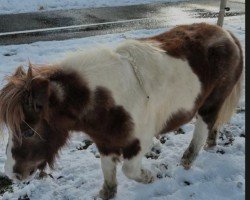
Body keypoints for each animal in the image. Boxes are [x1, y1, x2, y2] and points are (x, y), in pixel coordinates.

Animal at [0, 23, 242, 200]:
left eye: (28, 131)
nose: (11, 173)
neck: (104, 97)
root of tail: (227, 34)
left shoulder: (139, 142)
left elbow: (129, 170)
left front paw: (150, 177)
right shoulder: (105, 141)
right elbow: (108, 171)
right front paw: (106, 194)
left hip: (211, 103)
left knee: (203, 128)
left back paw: (187, 161)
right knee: (214, 125)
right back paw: (211, 144)